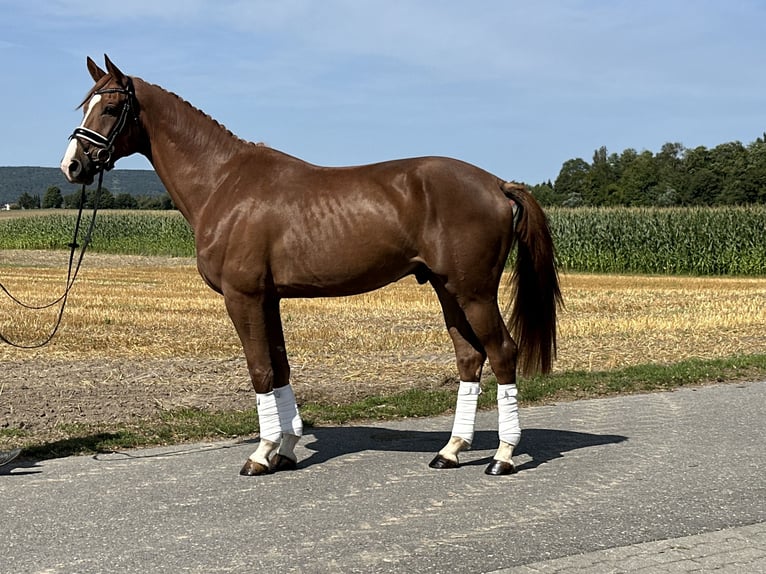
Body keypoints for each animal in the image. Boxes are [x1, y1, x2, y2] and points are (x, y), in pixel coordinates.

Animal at [61, 55, 564, 476]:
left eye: (110, 108)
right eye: (84, 106)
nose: (72, 166)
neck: (224, 182)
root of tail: (497, 184)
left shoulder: (244, 298)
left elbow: (261, 371)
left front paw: (260, 455)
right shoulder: (268, 299)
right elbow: (281, 369)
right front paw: (284, 450)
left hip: (474, 291)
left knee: (502, 353)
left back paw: (502, 456)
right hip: (447, 289)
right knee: (469, 358)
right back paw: (450, 451)